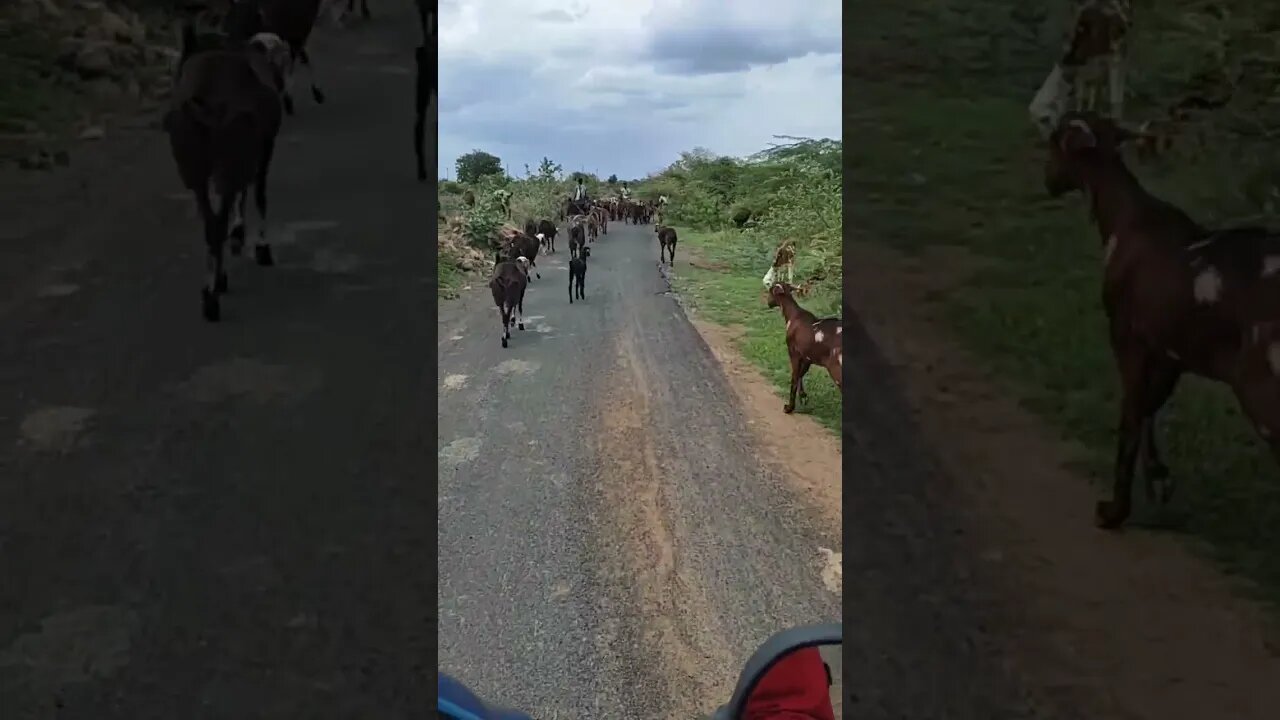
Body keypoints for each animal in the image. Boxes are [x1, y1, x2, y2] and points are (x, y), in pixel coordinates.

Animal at [762, 283, 844, 412]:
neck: (793, 315)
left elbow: (794, 378)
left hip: (837, 369)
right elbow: (801, 375)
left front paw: (789, 407)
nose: (768, 303)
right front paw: (803, 397)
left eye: (770, 291)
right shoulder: (807, 357)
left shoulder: (793, 353)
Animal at [1044, 110, 1274, 527]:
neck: (1126, 218)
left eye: (1054, 141)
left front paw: (1115, 510)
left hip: (1263, 390)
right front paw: (1159, 480)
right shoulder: (1169, 352)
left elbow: (1131, 417)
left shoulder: (1126, 337)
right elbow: (1149, 410)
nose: (1047, 180)